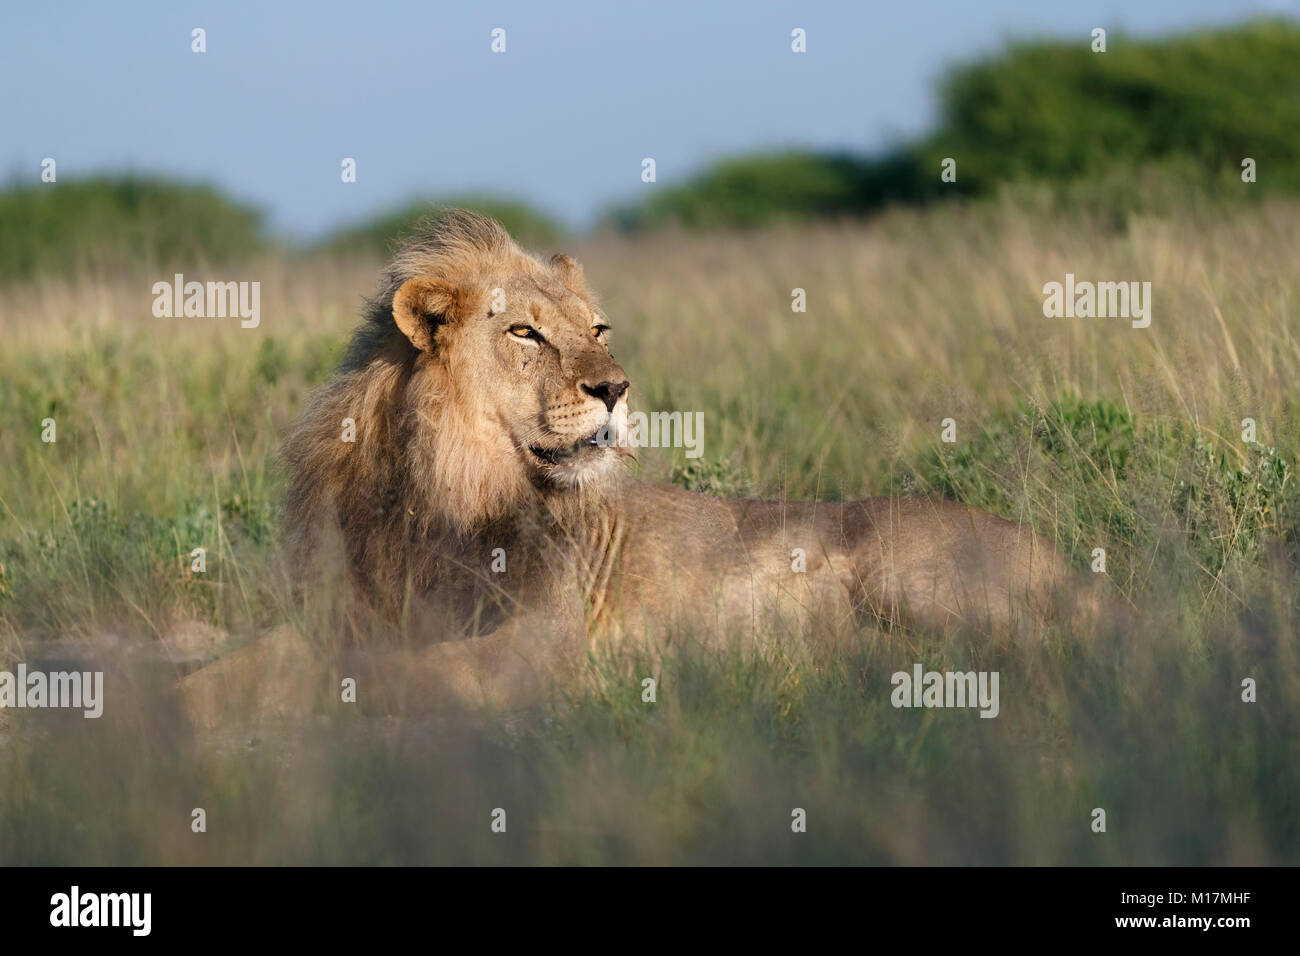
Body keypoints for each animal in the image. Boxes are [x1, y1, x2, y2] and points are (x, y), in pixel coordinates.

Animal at [180, 208, 1097, 717]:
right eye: (525, 332)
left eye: (598, 329)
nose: (616, 388)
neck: (438, 487)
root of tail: (1071, 568)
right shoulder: (343, 612)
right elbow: (242, 663)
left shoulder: (540, 646)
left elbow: (401, 679)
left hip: (908, 572)